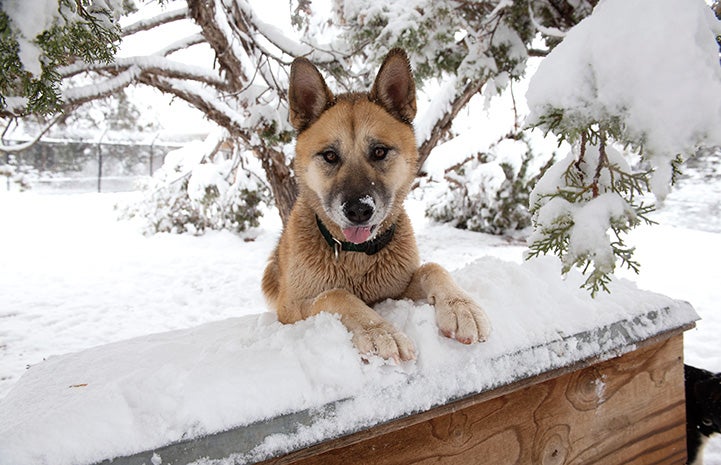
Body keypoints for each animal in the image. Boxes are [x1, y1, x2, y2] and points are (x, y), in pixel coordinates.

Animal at [262, 48, 492, 362]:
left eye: (380, 151)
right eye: (330, 156)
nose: (359, 210)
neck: (356, 254)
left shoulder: (398, 288)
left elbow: (433, 268)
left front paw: (460, 306)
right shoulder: (292, 306)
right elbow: (336, 294)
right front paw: (378, 331)